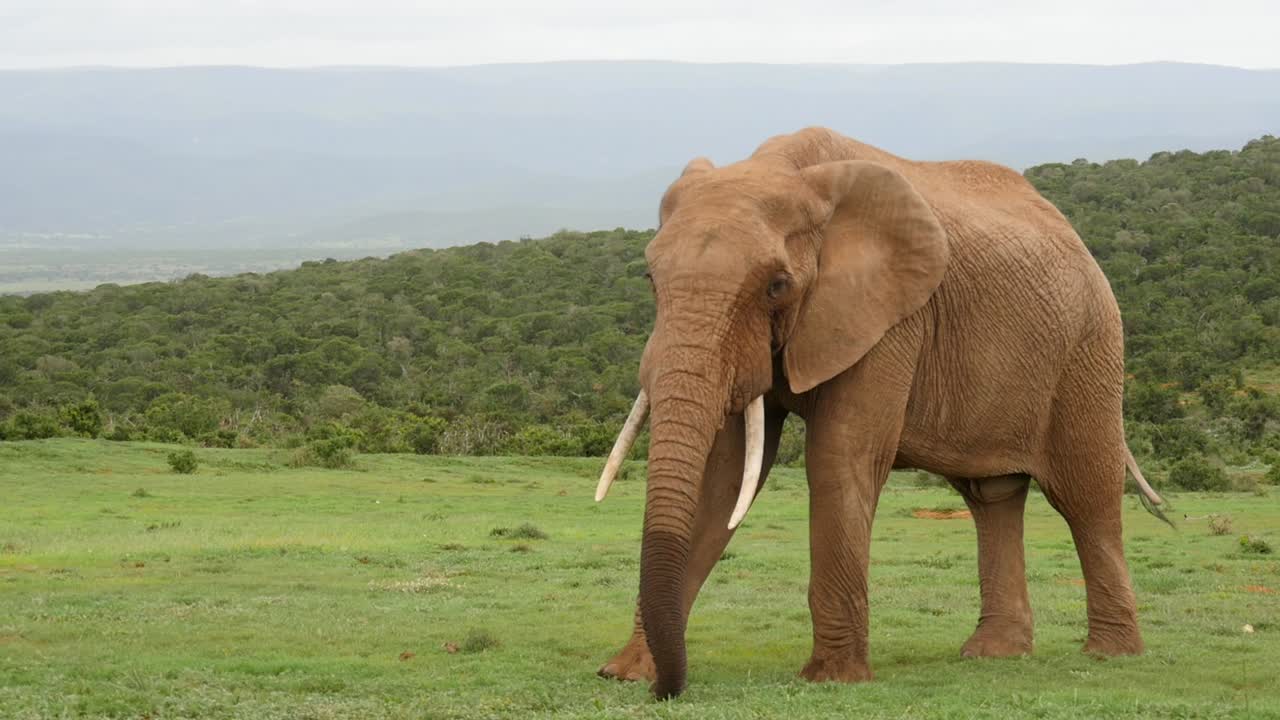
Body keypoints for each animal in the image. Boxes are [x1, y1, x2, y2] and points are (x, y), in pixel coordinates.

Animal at [591, 127, 1167, 699]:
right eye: (650, 278)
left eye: (777, 285)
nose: (669, 690)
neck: (790, 171)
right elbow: (724, 476)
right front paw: (627, 672)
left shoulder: (890, 317)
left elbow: (838, 456)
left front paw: (832, 679)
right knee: (993, 497)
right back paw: (994, 654)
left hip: (1090, 348)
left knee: (1085, 494)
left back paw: (1111, 654)